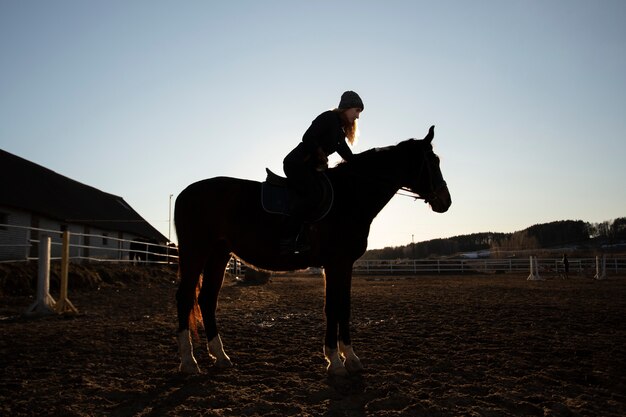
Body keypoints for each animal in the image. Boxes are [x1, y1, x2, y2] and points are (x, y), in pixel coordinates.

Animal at [173, 125, 450, 376]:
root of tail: (185, 193)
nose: (445, 201)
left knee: (207, 299)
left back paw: (220, 356)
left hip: (218, 254)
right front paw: (336, 362)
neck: (349, 196)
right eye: (433, 161)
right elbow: (333, 308)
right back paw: (189, 362)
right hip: (195, 252)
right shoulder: (337, 263)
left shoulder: (343, 265)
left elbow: (343, 306)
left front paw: (349, 358)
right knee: (185, 298)